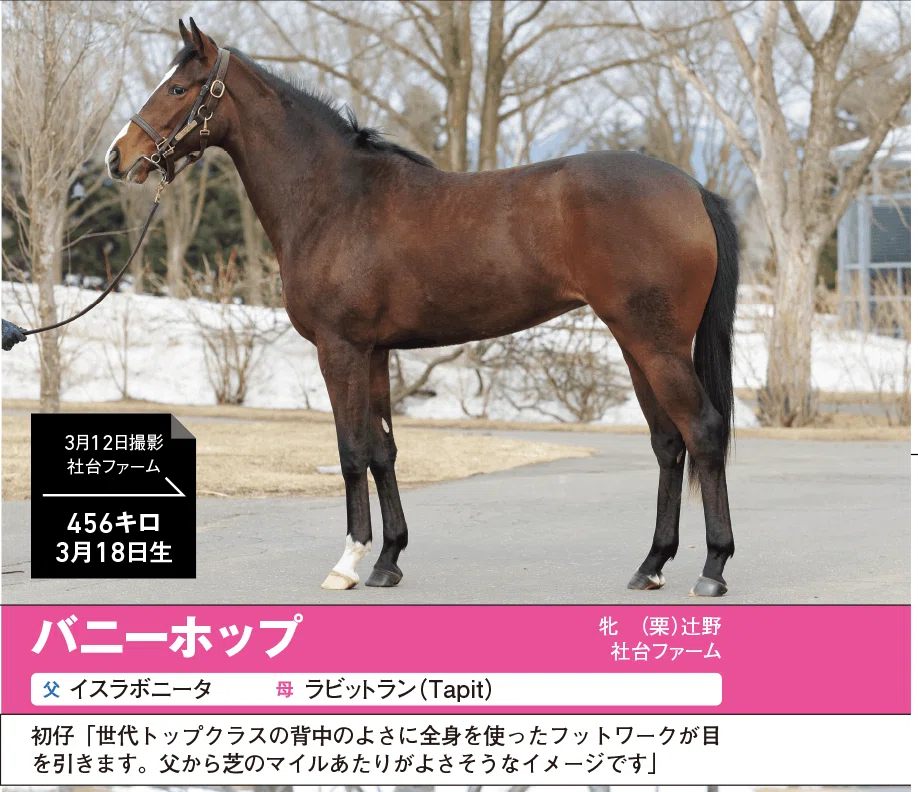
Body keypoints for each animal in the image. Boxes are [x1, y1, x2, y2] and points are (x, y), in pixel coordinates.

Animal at [108, 18, 739, 597]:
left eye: (178, 88)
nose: (119, 157)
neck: (334, 199)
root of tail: (692, 189)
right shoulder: (375, 352)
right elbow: (383, 450)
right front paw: (388, 560)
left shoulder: (340, 350)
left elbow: (350, 450)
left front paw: (348, 562)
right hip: (636, 344)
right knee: (667, 442)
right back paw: (651, 565)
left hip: (655, 345)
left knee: (703, 431)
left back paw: (712, 568)